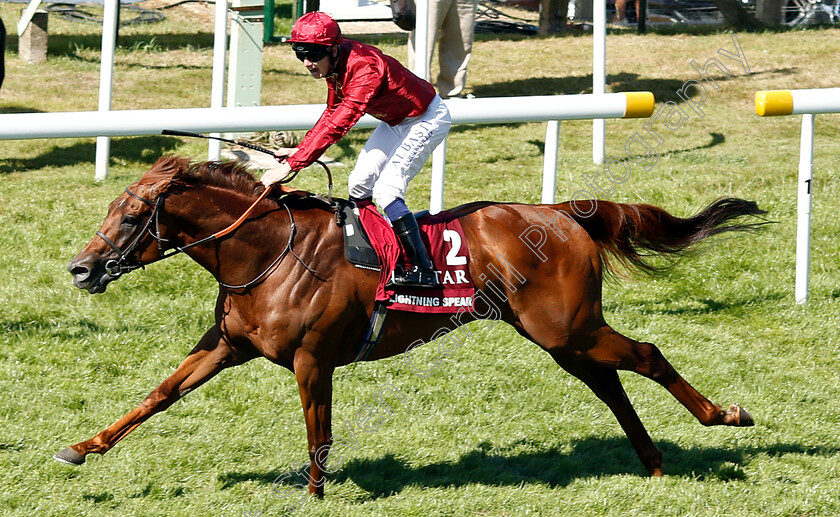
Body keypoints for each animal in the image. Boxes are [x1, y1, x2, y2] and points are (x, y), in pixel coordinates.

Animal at [57, 155, 768, 494]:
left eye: (132, 217)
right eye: (111, 209)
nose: (81, 269)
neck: (265, 252)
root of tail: (564, 212)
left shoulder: (313, 359)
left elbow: (319, 434)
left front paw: (314, 495)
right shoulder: (228, 344)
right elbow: (159, 395)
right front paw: (83, 446)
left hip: (567, 329)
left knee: (646, 354)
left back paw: (724, 416)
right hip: (560, 337)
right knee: (611, 383)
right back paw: (652, 462)